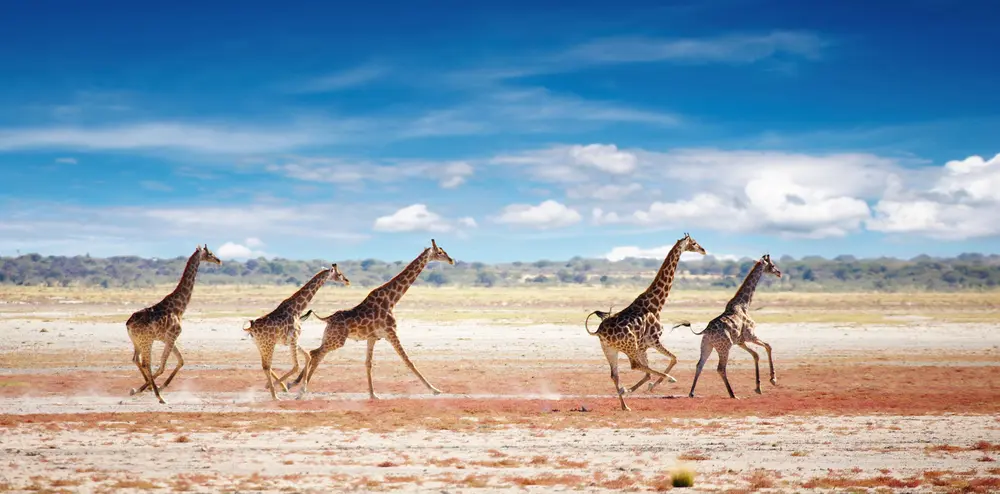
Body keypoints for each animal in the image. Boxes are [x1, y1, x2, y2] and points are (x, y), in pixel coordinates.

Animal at [125, 244, 221, 404]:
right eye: (210, 253)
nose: (219, 260)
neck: (179, 308)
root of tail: (128, 324)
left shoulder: (168, 338)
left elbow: (181, 361)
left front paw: (153, 387)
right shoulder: (172, 336)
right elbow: (162, 366)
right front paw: (156, 390)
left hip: (137, 342)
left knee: (135, 359)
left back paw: (145, 388)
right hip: (147, 341)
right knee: (146, 363)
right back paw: (159, 396)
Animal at [243, 264, 351, 400]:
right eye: (339, 274)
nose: (347, 281)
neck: (297, 309)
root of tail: (251, 328)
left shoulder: (292, 340)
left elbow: (308, 356)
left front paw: (300, 389)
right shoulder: (294, 338)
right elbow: (296, 366)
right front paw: (285, 387)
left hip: (260, 345)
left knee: (265, 365)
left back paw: (276, 389)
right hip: (268, 344)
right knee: (267, 366)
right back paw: (275, 395)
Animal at [289, 239, 455, 399]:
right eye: (440, 252)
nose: (451, 260)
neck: (392, 300)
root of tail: (327, 318)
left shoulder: (373, 337)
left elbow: (368, 363)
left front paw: (373, 394)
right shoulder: (391, 332)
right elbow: (408, 361)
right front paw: (435, 390)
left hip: (329, 337)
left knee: (317, 354)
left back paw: (296, 385)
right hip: (337, 340)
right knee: (315, 353)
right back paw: (300, 389)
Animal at [584, 233, 706, 411]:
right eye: (694, 243)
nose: (703, 250)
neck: (656, 305)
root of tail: (599, 331)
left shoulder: (644, 346)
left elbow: (652, 370)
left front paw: (638, 388)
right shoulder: (653, 340)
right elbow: (673, 359)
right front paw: (654, 384)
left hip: (610, 350)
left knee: (615, 374)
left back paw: (625, 405)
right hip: (630, 345)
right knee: (634, 366)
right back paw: (666, 379)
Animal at [688, 254, 781, 399]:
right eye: (772, 265)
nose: (779, 273)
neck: (744, 304)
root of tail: (706, 331)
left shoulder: (740, 341)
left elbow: (756, 355)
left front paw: (758, 387)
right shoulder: (750, 335)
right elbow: (768, 346)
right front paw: (773, 379)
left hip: (707, 345)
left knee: (699, 365)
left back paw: (692, 393)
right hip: (724, 347)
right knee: (720, 368)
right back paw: (733, 394)